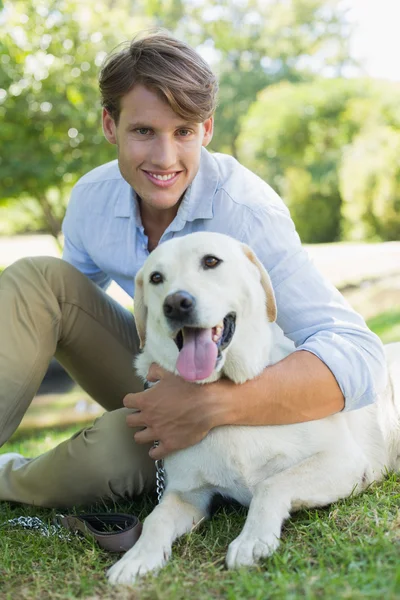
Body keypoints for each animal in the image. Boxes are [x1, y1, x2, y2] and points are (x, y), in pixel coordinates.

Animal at [106, 232, 400, 584]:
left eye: (210, 261)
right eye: (156, 278)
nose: (176, 304)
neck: (225, 398)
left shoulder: (344, 461)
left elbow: (271, 485)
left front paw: (252, 540)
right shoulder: (187, 495)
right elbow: (155, 519)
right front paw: (137, 558)